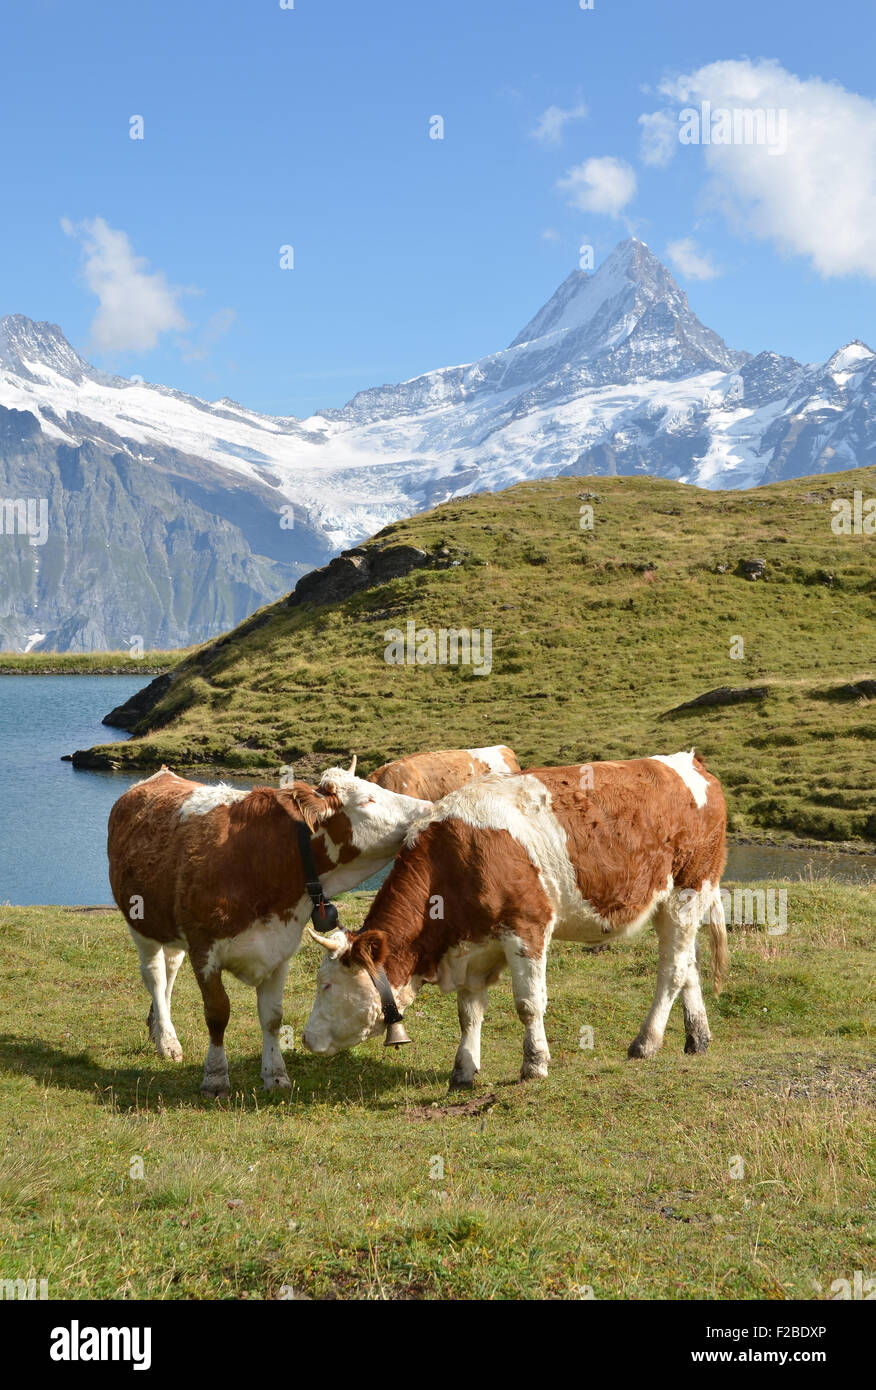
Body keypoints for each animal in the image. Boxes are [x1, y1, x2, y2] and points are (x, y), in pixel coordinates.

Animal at [107, 758, 430, 1097]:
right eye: (368, 800)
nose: (428, 807)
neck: (263, 859)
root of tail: (159, 775)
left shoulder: (280, 949)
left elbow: (273, 1017)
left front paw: (275, 1075)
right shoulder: (204, 949)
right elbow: (217, 1013)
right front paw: (215, 1077)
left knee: (170, 971)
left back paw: (159, 1029)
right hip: (141, 924)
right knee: (155, 976)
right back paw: (167, 1039)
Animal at [302, 752, 729, 1089]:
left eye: (326, 985)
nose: (305, 1038)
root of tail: (688, 762)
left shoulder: (527, 929)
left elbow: (528, 1004)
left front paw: (534, 1064)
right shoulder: (471, 946)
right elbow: (468, 1012)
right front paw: (463, 1071)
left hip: (688, 891)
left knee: (672, 970)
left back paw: (646, 1042)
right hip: (668, 904)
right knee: (688, 964)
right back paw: (698, 1038)